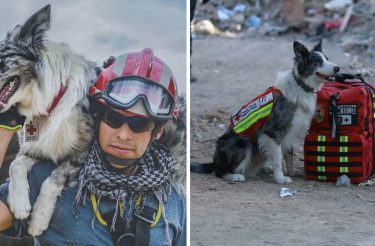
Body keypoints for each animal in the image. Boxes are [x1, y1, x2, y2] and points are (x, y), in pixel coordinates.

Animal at [0, 5, 97, 234]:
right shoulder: (38, 147)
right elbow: (15, 164)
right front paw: (19, 204)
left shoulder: (84, 152)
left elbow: (52, 181)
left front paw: (38, 220)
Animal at [214, 40, 340, 184]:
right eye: (317, 62)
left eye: (327, 59)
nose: (337, 68)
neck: (301, 85)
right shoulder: (274, 131)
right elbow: (278, 159)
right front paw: (280, 178)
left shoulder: (291, 130)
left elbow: (289, 156)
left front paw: (291, 172)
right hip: (243, 143)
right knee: (218, 172)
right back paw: (234, 176)